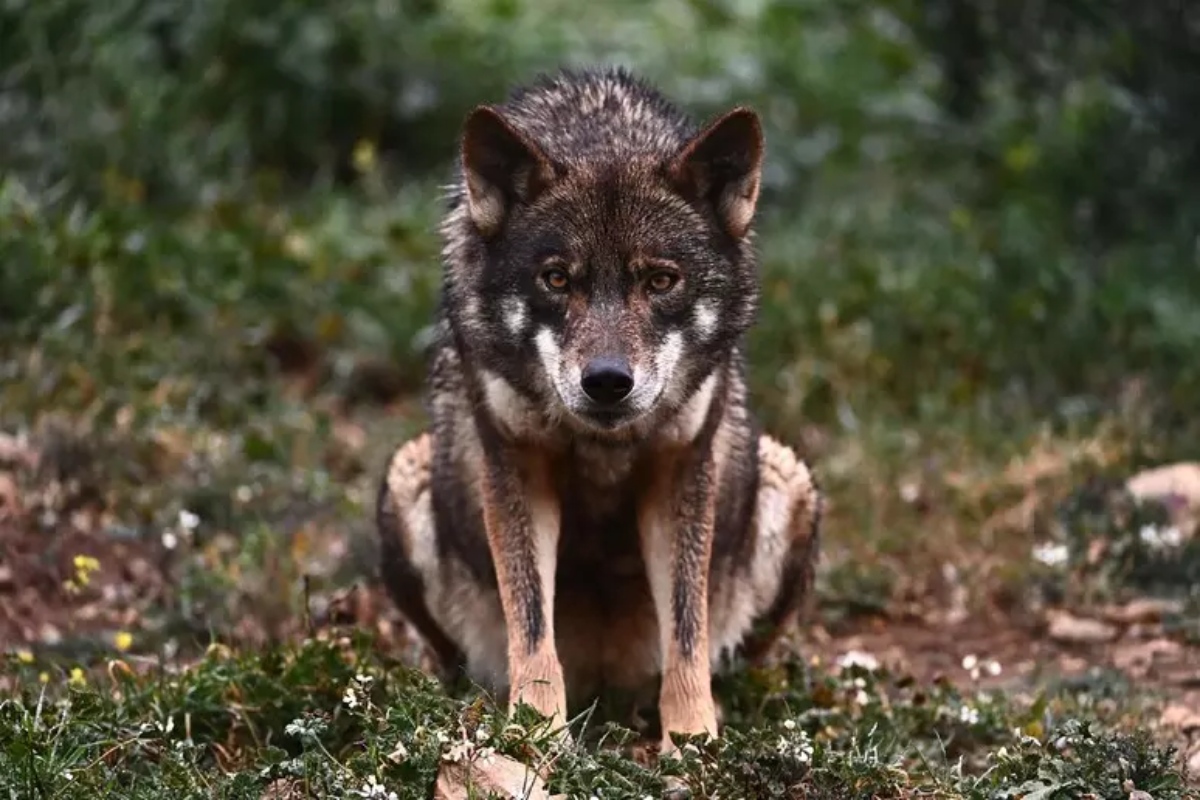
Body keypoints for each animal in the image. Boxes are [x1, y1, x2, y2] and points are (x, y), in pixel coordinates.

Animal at [375, 66, 822, 754]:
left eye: (660, 281)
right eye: (557, 279)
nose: (608, 382)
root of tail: (606, 682)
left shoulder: (680, 466)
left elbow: (686, 630)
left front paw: (692, 745)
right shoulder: (516, 464)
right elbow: (532, 623)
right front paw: (536, 739)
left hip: (791, 483)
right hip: (403, 484)